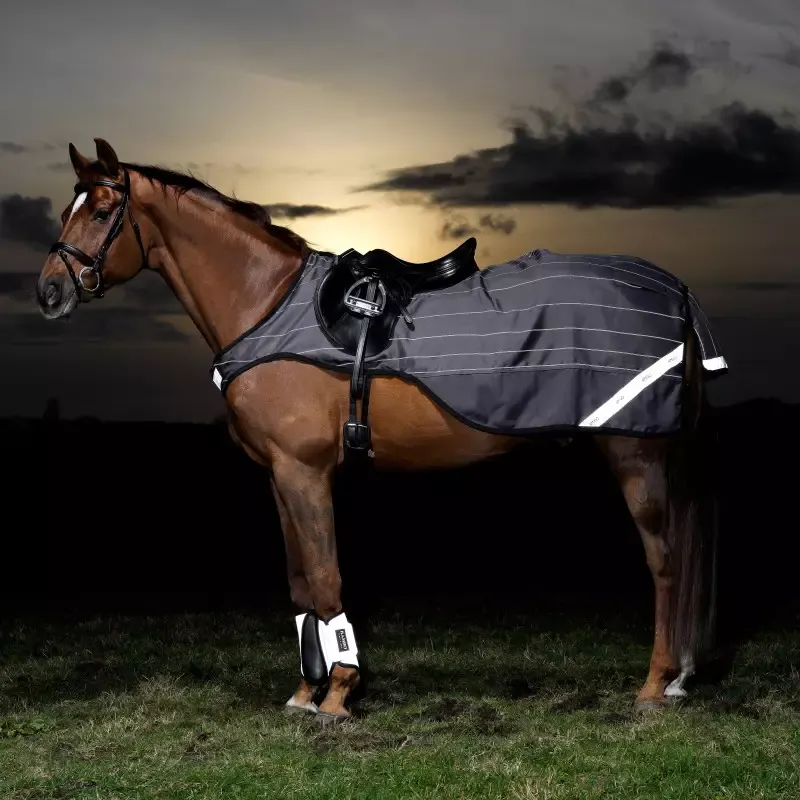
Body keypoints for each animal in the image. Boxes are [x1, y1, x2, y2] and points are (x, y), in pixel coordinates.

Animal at [35, 138, 720, 723]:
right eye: (69, 208)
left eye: (102, 211)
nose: (48, 292)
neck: (265, 303)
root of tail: (677, 291)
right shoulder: (281, 477)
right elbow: (300, 583)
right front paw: (306, 691)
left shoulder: (306, 473)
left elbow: (327, 577)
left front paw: (339, 695)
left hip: (635, 454)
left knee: (664, 562)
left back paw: (655, 684)